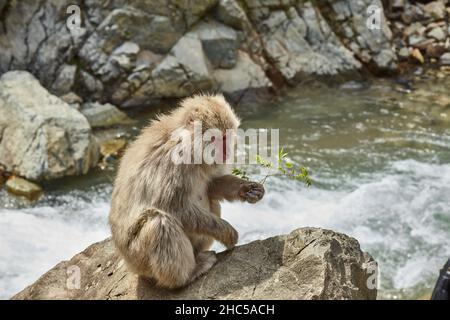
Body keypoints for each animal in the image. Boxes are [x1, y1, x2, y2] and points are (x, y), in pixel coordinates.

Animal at [108, 94, 264, 288]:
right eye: (216, 138)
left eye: (227, 137)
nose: (226, 151)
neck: (190, 144)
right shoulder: (174, 160)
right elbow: (173, 208)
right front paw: (227, 232)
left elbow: (212, 185)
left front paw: (247, 189)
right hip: (138, 258)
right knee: (158, 222)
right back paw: (187, 275)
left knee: (210, 199)